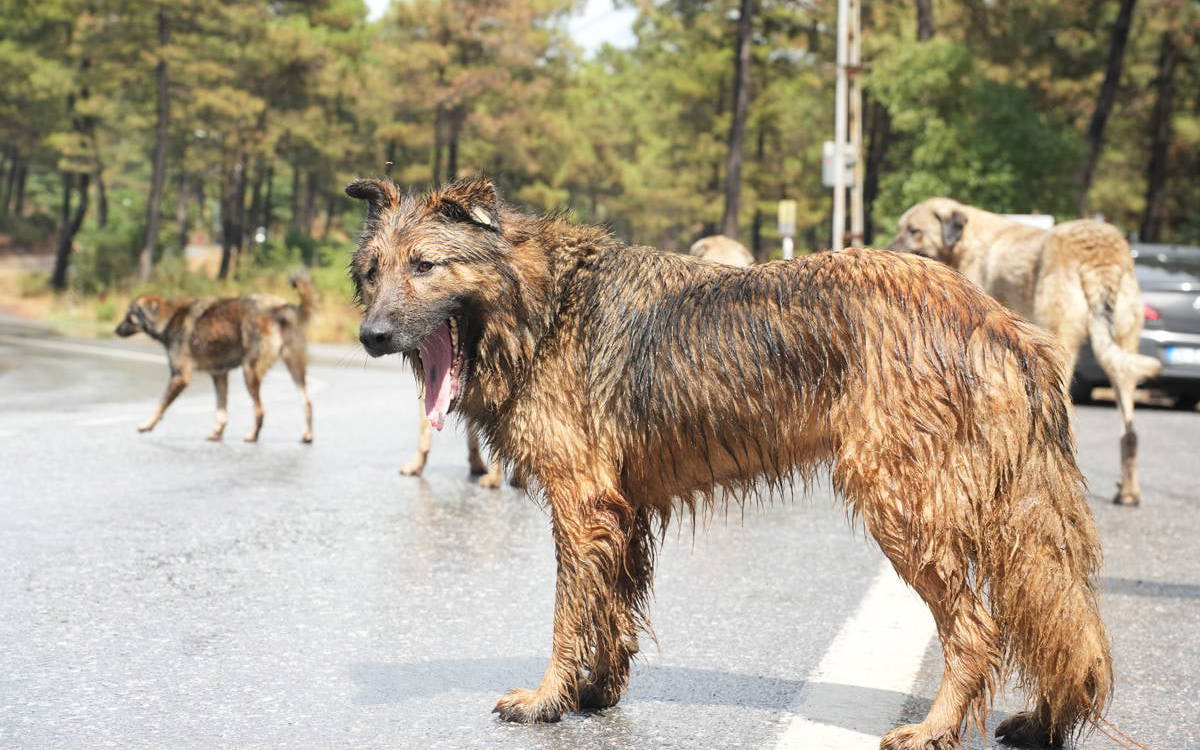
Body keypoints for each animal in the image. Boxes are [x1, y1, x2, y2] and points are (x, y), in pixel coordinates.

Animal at [112, 270, 316, 441]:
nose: (115, 330)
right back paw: (307, 436)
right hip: (295, 370)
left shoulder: (180, 377)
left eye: (128, 315)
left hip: (250, 372)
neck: (168, 318)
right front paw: (217, 433)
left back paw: (253, 436)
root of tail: (283, 307)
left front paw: (147, 425)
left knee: (260, 410)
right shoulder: (219, 375)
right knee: (307, 403)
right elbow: (221, 410)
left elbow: (160, 405)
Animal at [343, 176, 1108, 748]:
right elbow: (612, 613)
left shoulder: (580, 503)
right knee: (1055, 617)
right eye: (372, 270)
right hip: (1008, 520)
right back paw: (1044, 721)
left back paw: (936, 728)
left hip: (904, 505)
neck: (544, 304)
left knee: (979, 629)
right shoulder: (622, 511)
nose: (371, 336)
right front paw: (596, 694)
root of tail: (996, 320)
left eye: (425, 265)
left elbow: (569, 615)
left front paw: (546, 699)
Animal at [888, 199, 1156, 506]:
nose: (886, 248)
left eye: (914, 231)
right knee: (1130, 430)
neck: (967, 238)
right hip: (1124, 347)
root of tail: (1100, 253)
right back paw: (1128, 492)